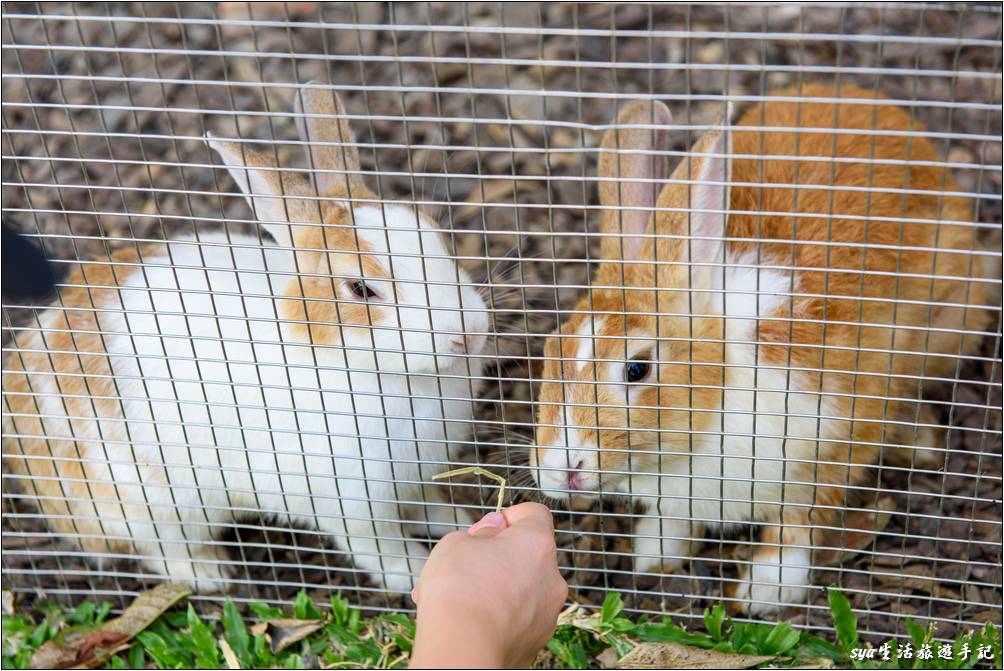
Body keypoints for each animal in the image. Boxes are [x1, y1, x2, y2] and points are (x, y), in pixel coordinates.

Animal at [2, 83, 489, 590]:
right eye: (360, 289)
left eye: (436, 237)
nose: (469, 333)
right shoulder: (349, 503)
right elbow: (380, 547)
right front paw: (415, 573)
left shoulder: (413, 481)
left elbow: (426, 507)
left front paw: (457, 520)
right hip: (151, 505)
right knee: (161, 550)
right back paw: (211, 573)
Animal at [530, 82, 999, 614]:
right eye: (549, 352)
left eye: (636, 369)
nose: (562, 469)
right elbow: (674, 520)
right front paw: (654, 556)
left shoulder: (828, 445)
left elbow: (797, 525)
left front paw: (763, 592)